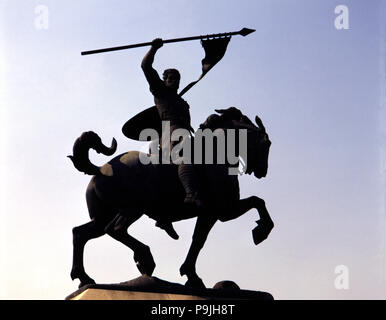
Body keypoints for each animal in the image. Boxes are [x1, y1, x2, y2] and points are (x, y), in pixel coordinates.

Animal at [69, 107, 274, 288]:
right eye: (267, 143)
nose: (262, 172)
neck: (215, 156)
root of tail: (100, 169)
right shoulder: (222, 210)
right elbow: (257, 201)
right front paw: (261, 231)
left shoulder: (211, 213)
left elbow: (198, 240)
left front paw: (191, 275)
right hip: (132, 209)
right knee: (116, 229)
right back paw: (145, 258)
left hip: (101, 218)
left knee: (80, 233)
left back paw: (84, 278)